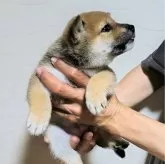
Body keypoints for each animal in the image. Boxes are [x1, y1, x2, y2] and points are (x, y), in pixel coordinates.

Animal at [26, 11, 135, 164]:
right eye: (106, 28)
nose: (132, 27)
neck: (78, 64)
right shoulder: (42, 76)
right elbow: (39, 98)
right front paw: (37, 121)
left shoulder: (106, 72)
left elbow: (98, 79)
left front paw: (95, 101)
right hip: (60, 141)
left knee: (106, 138)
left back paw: (119, 143)